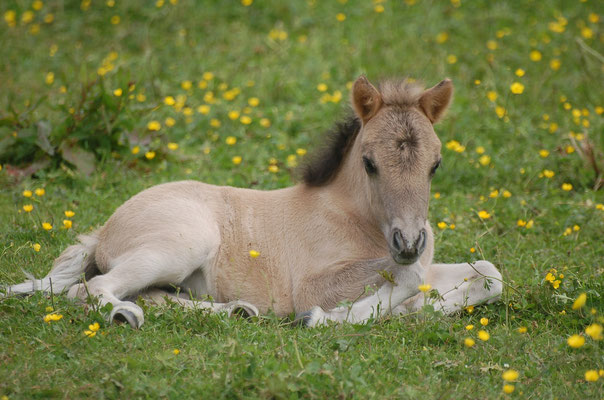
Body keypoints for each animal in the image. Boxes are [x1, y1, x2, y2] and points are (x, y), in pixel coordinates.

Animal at [7, 76, 502, 328]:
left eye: (435, 164)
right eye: (369, 163)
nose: (410, 242)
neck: (357, 219)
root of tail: (104, 230)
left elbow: (489, 273)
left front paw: (427, 304)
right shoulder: (312, 284)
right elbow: (408, 279)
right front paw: (321, 318)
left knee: (154, 295)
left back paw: (238, 310)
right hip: (182, 243)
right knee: (90, 289)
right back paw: (124, 315)